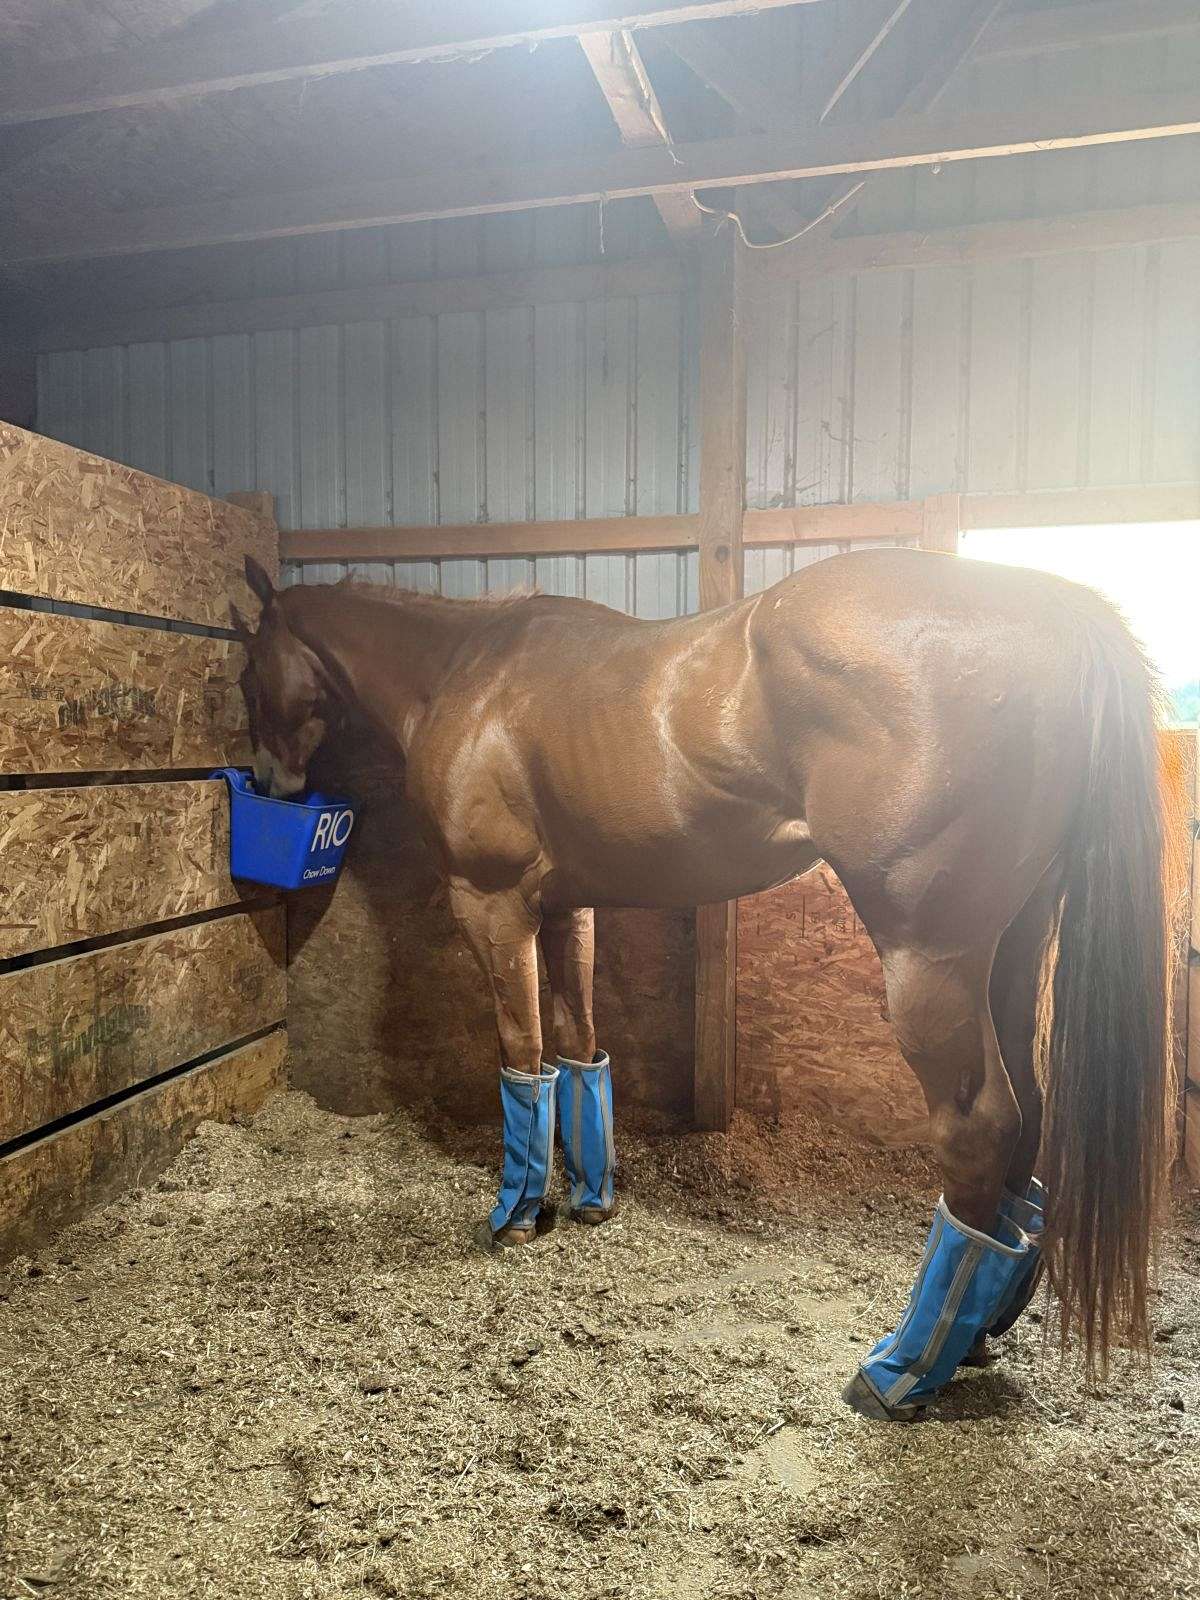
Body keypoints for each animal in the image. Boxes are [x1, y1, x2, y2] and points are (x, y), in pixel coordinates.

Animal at [231, 546, 1181, 1420]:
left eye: (247, 668)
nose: (274, 781)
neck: (467, 674)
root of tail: (1050, 606)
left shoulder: (493, 904)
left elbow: (521, 1054)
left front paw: (517, 1215)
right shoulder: (568, 907)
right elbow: (578, 1052)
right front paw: (589, 1200)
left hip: (930, 957)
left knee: (981, 1125)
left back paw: (902, 1369)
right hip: (1014, 949)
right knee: (1029, 1108)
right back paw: (979, 1333)